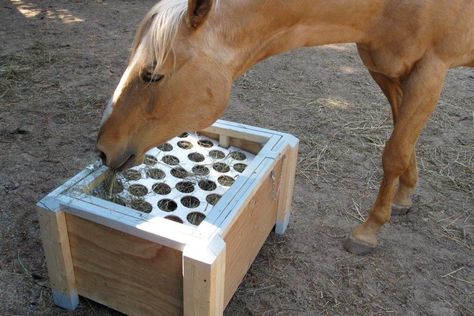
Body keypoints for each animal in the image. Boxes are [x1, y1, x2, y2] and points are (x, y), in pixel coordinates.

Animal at [96, 0, 474, 253]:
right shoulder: (386, 70)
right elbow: (403, 138)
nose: (102, 150)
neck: (388, 8)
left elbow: (394, 151)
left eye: (153, 74)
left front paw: (368, 231)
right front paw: (405, 195)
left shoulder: (430, 71)